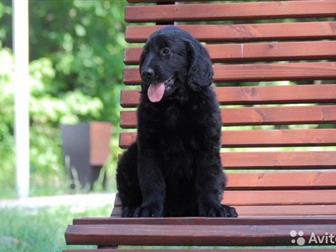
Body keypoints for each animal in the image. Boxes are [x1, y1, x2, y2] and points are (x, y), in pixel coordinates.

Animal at [117, 26, 238, 218]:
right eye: (146, 53)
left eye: (166, 51)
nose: (145, 74)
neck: (174, 104)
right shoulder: (149, 146)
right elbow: (152, 181)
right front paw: (149, 208)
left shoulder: (207, 146)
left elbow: (208, 181)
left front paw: (213, 208)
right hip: (128, 157)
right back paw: (131, 208)